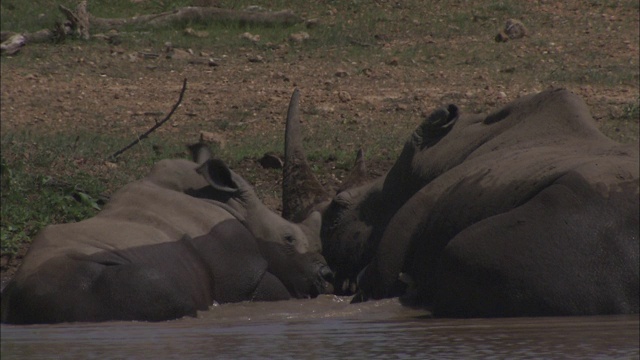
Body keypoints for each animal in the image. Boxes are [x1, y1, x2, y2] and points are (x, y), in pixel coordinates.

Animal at [0, 145, 330, 324]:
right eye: (288, 238)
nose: (326, 276)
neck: (233, 204)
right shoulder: (243, 274)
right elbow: (275, 289)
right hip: (78, 284)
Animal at [284, 88, 640, 316]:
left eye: (337, 209)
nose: (327, 271)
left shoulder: (408, 219)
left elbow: (378, 277)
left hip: (569, 238)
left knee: (457, 251)